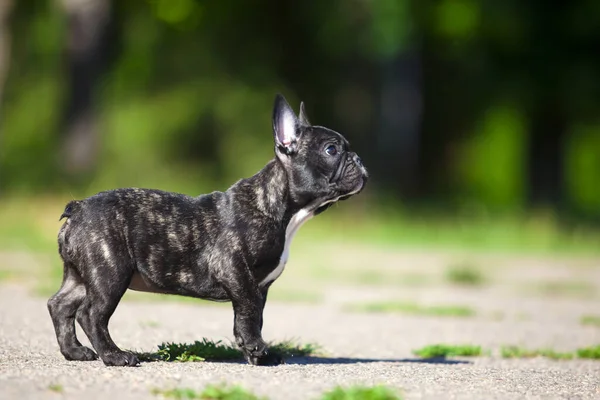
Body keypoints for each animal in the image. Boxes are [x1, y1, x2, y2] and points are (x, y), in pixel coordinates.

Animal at [48, 94, 366, 366]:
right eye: (331, 149)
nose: (359, 159)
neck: (278, 208)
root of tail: (78, 208)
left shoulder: (259, 285)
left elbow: (252, 316)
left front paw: (256, 355)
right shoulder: (235, 270)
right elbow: (249, 311)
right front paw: (256, 349)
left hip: (81, 275)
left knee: (60, 305)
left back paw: (74, 352)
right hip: (110, 273)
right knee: (91, 314)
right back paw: (114, 356)